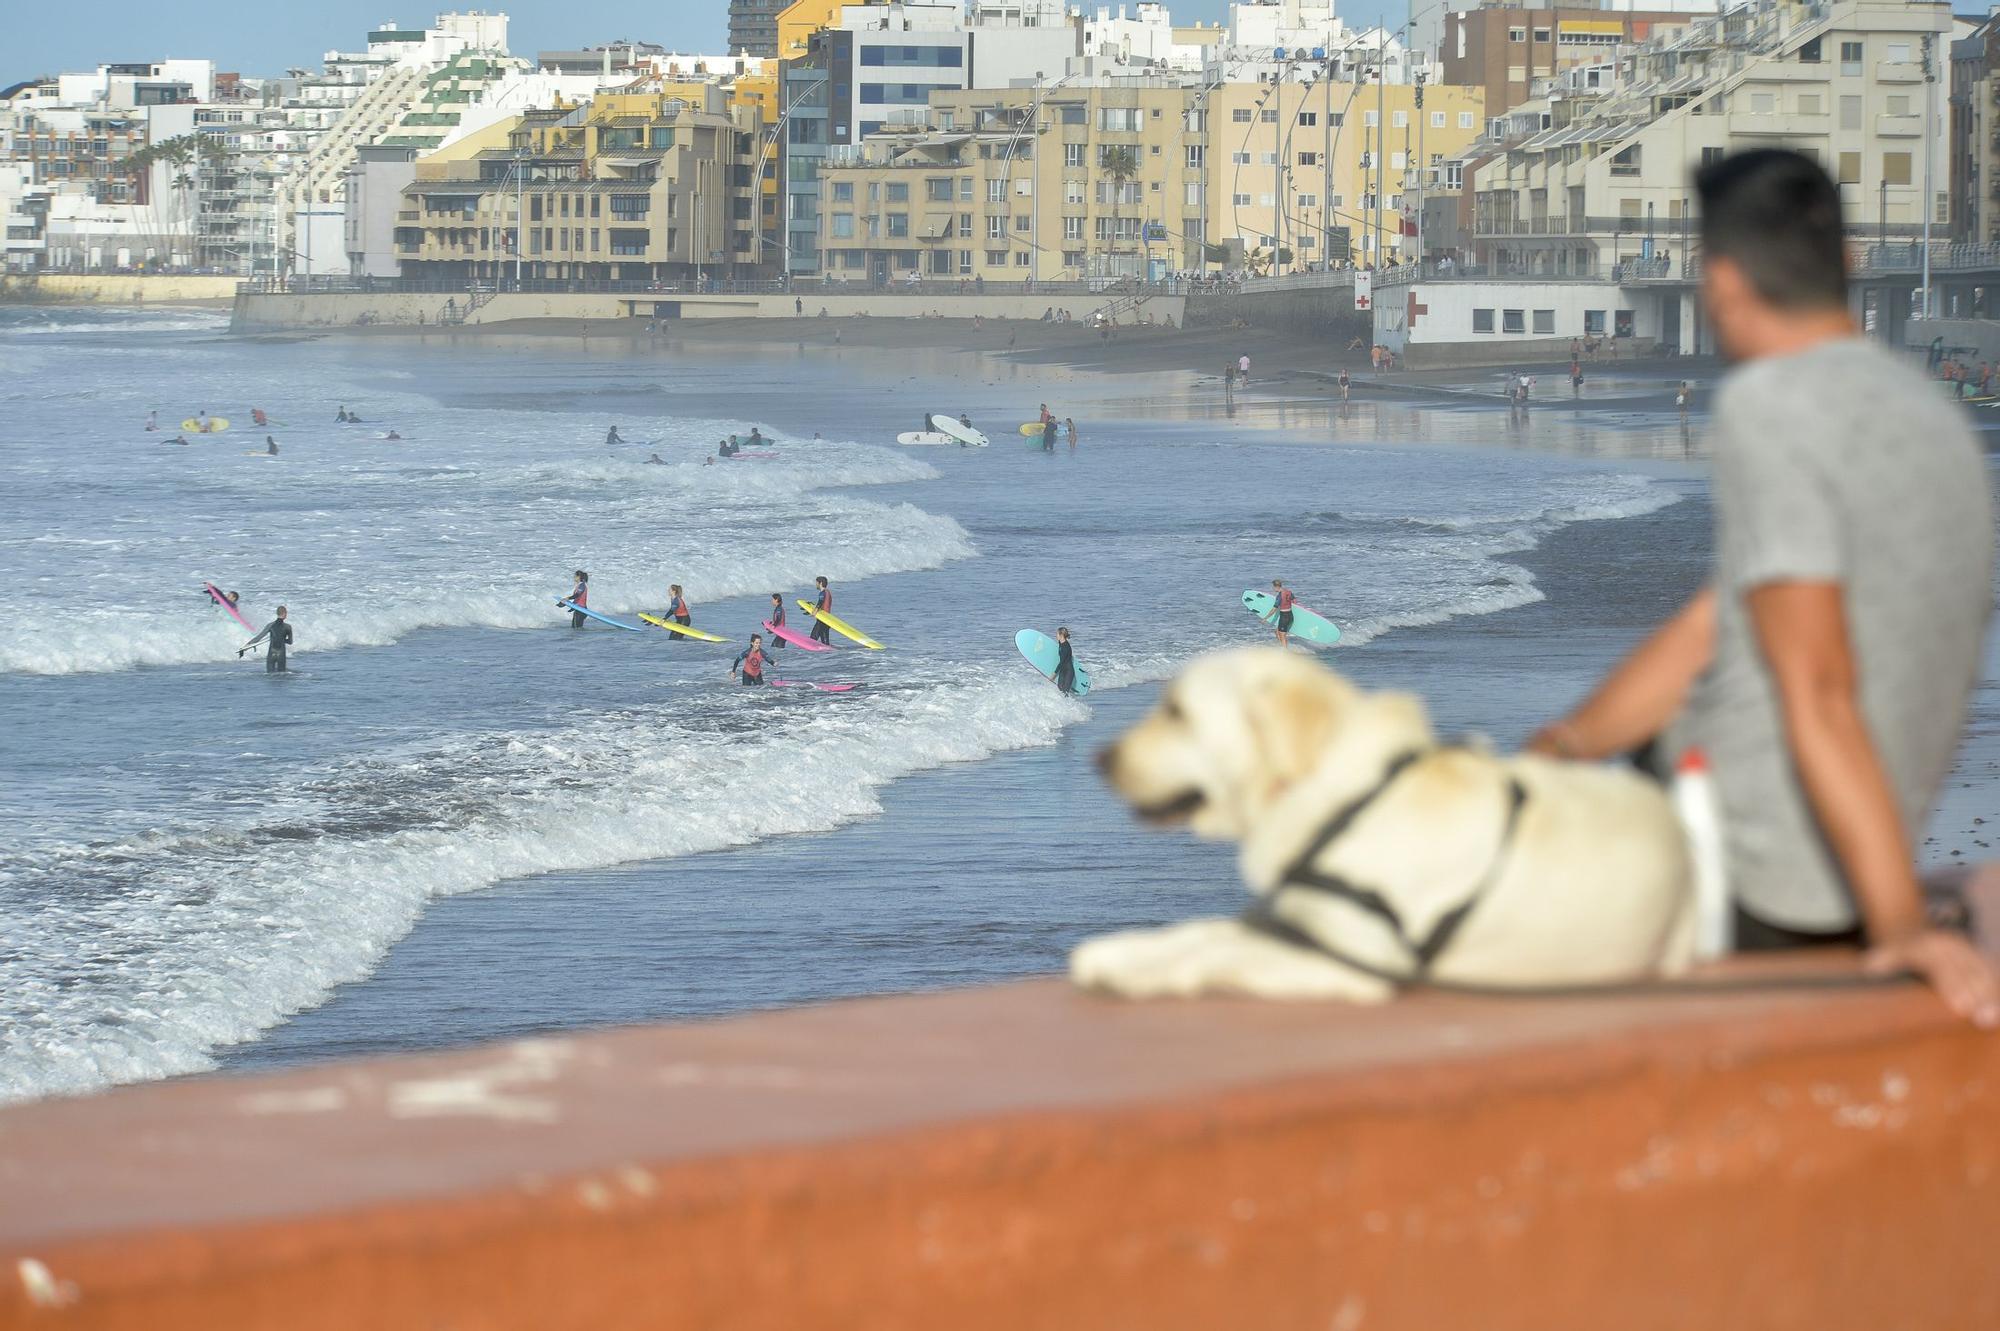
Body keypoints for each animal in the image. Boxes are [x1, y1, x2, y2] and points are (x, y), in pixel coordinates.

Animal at [1072, 643, 1696, 995]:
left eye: (1176, 711)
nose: (1100, 758)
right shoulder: (1292, 921)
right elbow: (1196, 934)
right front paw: (1115, 953)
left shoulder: (1354, 963)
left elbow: (1217, 954)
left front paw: (1137, 974)